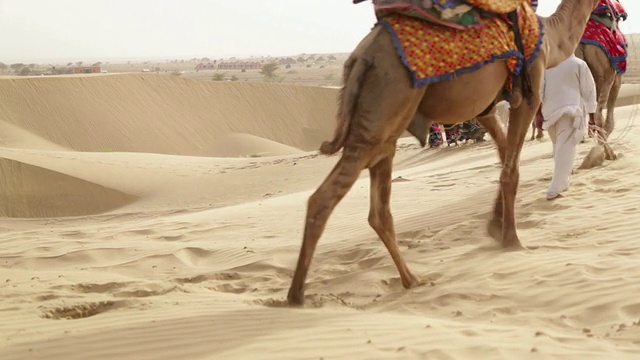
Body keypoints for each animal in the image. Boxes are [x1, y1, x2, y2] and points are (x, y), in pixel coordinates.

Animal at [288, 0, 596, 306]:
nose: (612, 10)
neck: (551, 37)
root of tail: (361, 58)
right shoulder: (528, 90)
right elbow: (511, 171)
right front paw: (511, 240)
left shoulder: (484, 108)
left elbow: (503, 156)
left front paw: (494, 225)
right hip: (385, 108)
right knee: (324, 198)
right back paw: (297, 295)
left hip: (382, 124)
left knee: (378, 210)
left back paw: (409, 279)